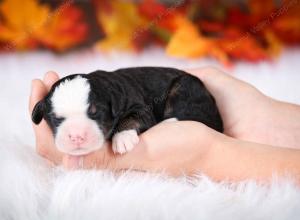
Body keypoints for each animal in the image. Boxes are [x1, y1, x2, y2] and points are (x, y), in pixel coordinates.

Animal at [31, 67, 223, 155]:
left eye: (94, 112)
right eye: (56, 119)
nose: (77, 136)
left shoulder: (142, 108)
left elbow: (131, 118)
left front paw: (122, 138)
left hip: (185, 88)